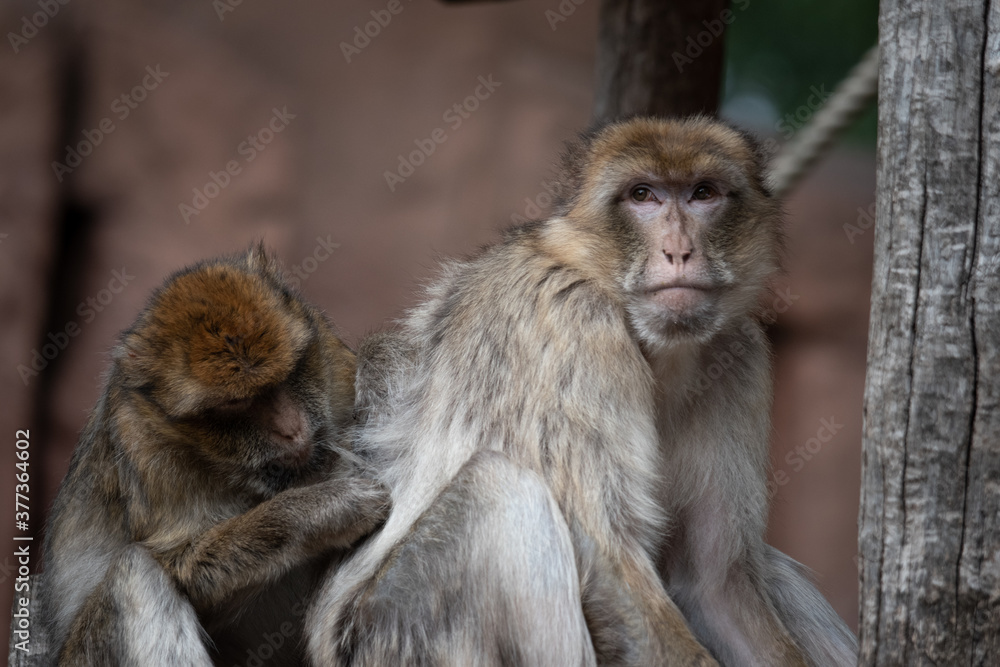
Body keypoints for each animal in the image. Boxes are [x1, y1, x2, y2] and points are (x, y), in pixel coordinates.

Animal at [37, 245, 391, 666]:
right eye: (238, 405)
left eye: (287, 377)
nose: (292, 429)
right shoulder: (145, 450)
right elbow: (182, 571)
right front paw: (320, 510)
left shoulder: (333, 361)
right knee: (134, 575)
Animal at [306, 116, 857, 666]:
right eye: (643, 195)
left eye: (703, 193)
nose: (680, 251)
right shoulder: (567, 316)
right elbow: (606, 561)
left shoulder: (738, 353)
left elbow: (716, 586)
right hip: (393, 630)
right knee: (499, 489)